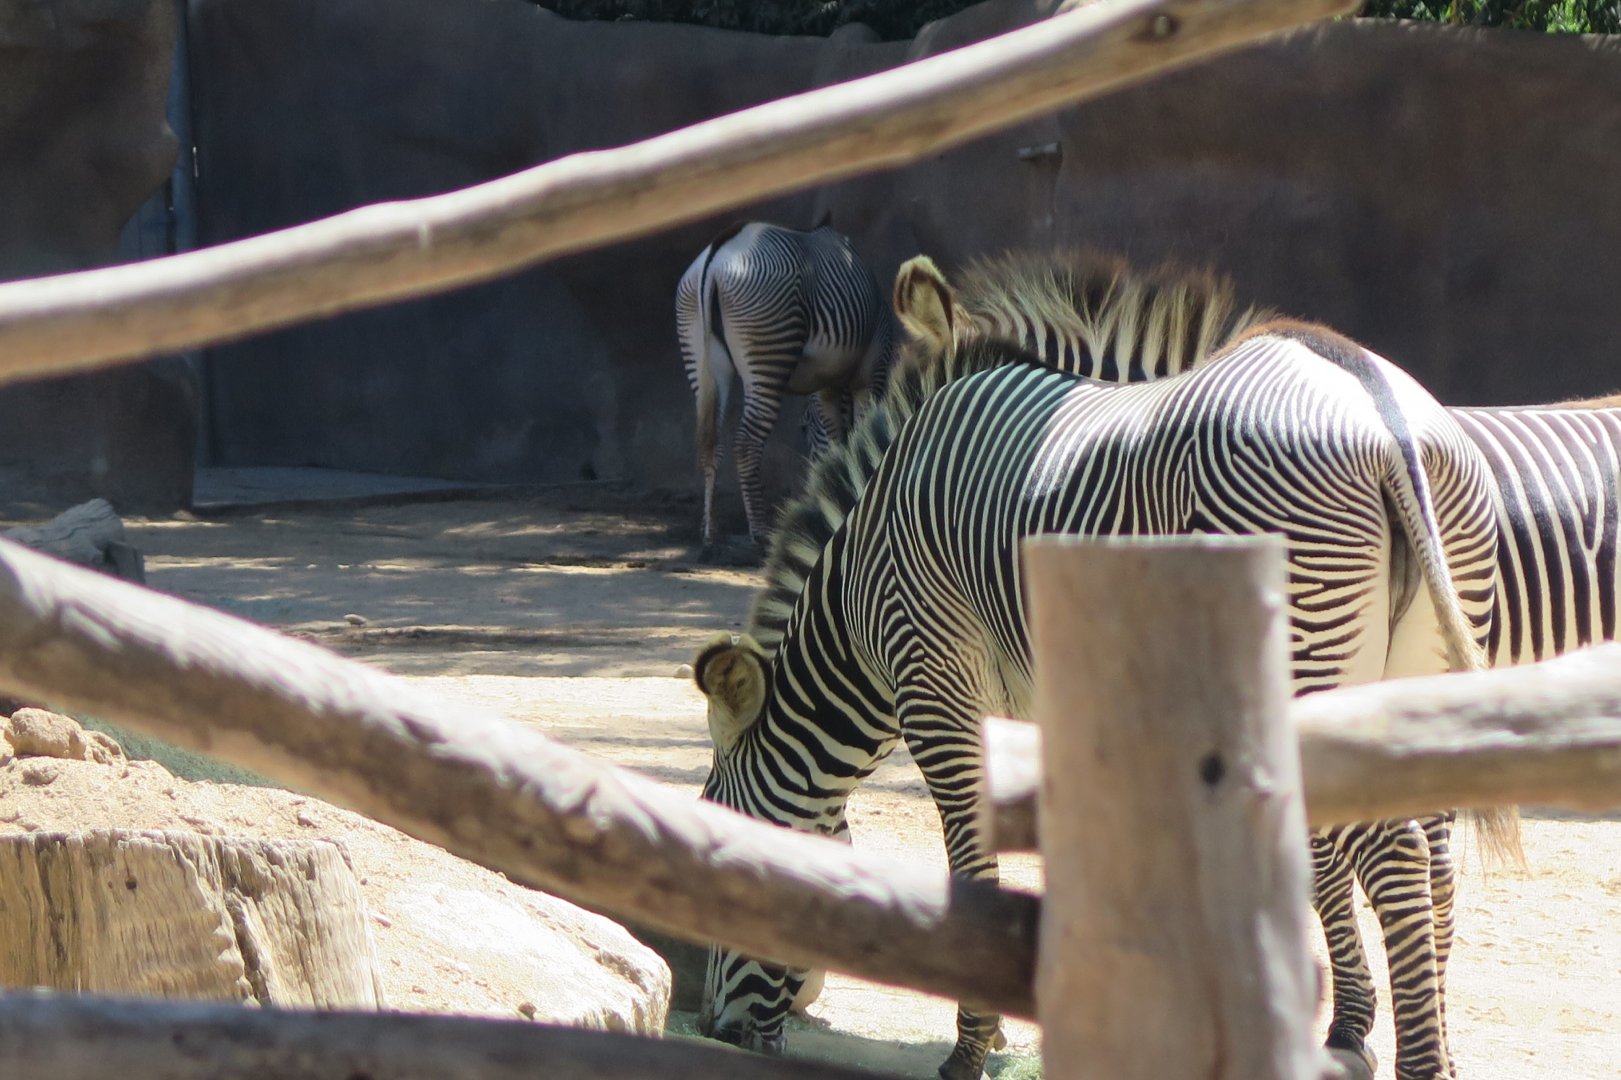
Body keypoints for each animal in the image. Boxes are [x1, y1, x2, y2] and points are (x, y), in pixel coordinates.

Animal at [676, 219, 895, 550]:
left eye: (803, 428)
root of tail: (717, 255)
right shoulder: (871, 371)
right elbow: (860, 433)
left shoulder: (826, 384)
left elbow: (837, 440)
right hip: (768, 350)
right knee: (746, 443)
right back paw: (761, 533)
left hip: (702, 355)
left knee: (711, 443)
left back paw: (710, 532)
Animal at [692, 258, 1515, 1080]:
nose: (713, 1027)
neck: (858, 587)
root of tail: (1379, 409)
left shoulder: (934, 684)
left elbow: (973, 858)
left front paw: (972, 1048)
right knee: (1431, 853)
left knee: (1393, 851)